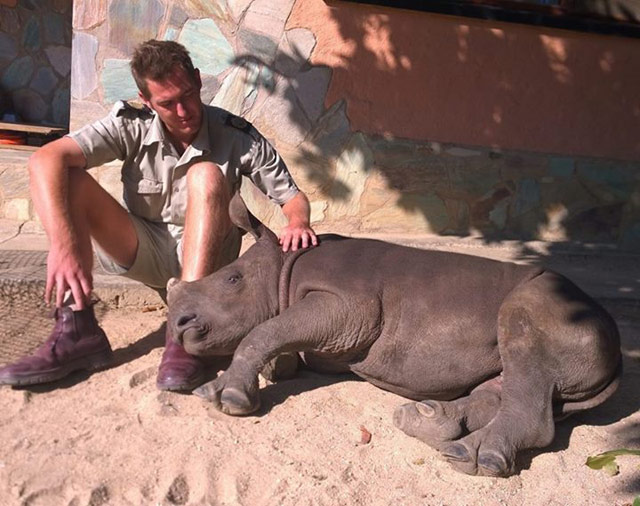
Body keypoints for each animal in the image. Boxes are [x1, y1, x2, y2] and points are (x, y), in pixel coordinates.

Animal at [165, 196, 620, 476]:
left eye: (232, 279)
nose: (180, 324)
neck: (283, 267)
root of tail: (615, 342)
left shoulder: (350, 305)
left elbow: (265, 330)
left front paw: (225, 398)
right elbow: (276, 335)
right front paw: (270, 372)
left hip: (556, 306)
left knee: (523, 340)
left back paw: (470, 458)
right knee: (509, 380)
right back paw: (424, 421)